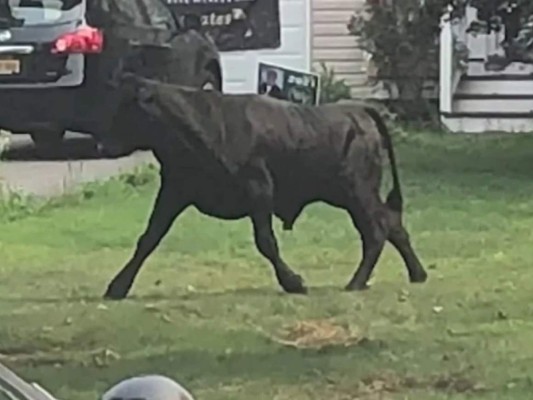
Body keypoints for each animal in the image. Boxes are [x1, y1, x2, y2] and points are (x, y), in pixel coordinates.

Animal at [101, 76, 428, 298]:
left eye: (126, 108)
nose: (102, 143)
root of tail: (358, 110)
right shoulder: (174, 191)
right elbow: (149, 237)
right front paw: (118, 286)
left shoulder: (259, 191)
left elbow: (266, 242)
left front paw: (293, 282)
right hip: (350, 195)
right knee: (392, 225)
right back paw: (417, 274)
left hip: (357, 192)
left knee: (376, 231)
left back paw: (356, 282)